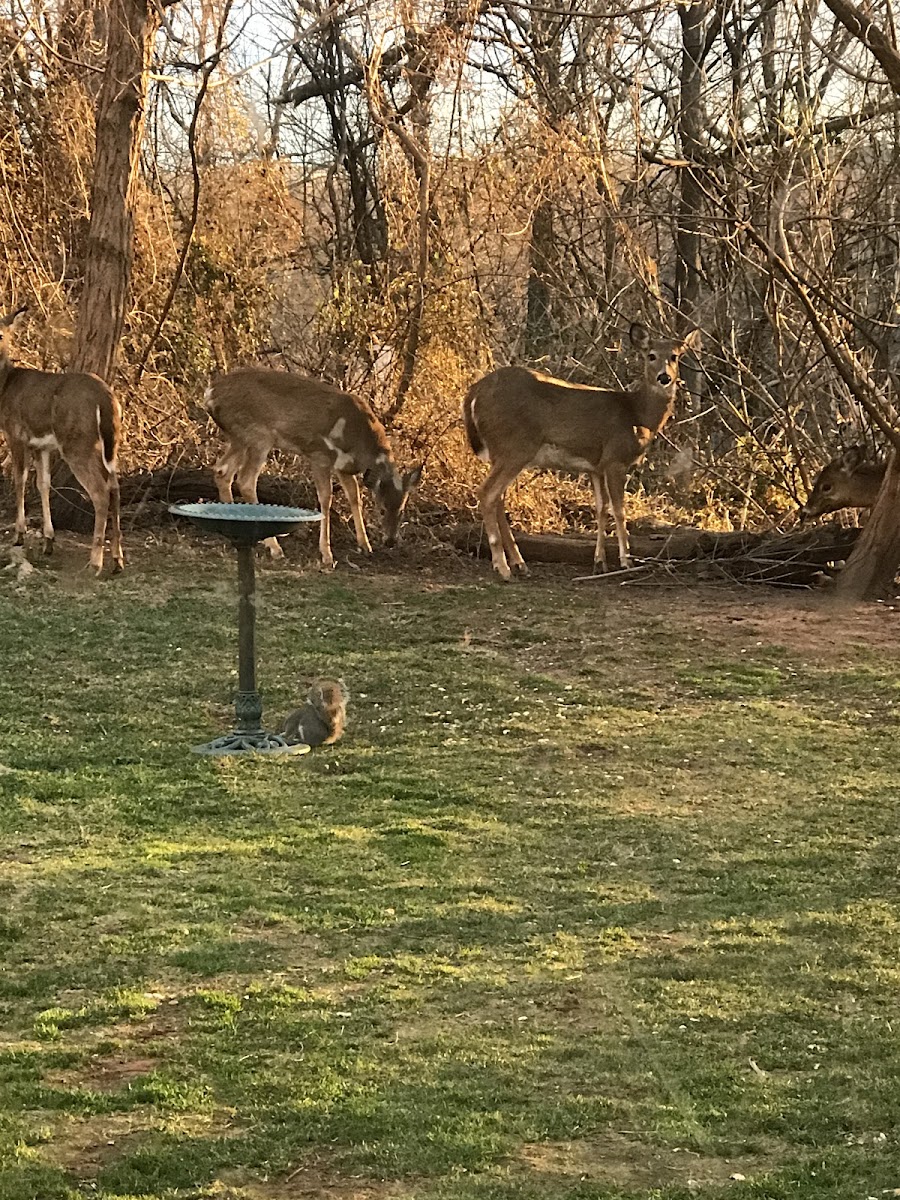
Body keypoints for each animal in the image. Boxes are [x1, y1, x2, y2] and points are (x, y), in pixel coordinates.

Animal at [0, 307, 124, 573]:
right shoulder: (41, 445)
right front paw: (49, 540)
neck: (4, 386)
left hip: (77, 443)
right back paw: (117, 560)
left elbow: (19, 480)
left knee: (100, 491)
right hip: (108, 444)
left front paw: (19, 535)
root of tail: (106, 397)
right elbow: (43, 484)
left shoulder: (16, 434)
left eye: (2, 334)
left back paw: (95, 562)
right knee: (114, 486)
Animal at [207, 364, 427, 566]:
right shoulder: (319, 455)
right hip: (258, 436)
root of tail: (210, 393)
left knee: (222, 471)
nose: (390, 541)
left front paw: (365, 545)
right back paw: (275, 548)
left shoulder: (343, 466)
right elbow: (326, 499)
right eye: (381, 509)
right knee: (245, 480)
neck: (359, 440)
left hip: (239, 437)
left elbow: (354, 496)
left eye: (402, 510)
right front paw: (327, 555)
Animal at [465, 324, 705, 576]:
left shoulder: (596, 467)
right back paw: (503, 567)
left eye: (674, 356)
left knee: (498, 497)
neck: (637, 414)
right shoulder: (615, 459)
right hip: (515, 447)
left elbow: (601, 509)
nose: (664, 377)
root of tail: (474, 393)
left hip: (502, 452)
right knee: (487, 493)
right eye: (651, 356)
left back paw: (520, 563)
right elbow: (619, 510)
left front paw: (599, 561)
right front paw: (625, 560)